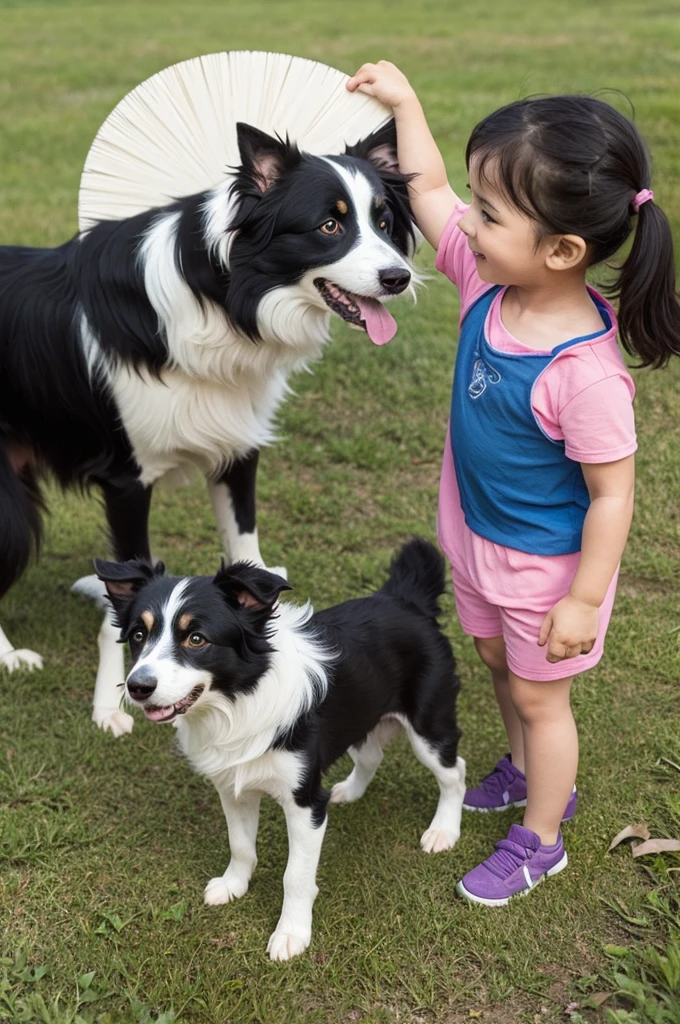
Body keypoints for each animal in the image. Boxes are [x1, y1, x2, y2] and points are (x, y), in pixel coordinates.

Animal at [0, 121, 417, 737]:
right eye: (330, 225)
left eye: (385, 222)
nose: (399, 277)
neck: (225, 297)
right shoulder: (127, 480)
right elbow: (125, 608)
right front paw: (108, 705)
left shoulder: (238, 449)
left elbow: (245, 548)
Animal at [95, 540, 464, 962]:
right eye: (139, 634)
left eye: (196, 639)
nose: (137, 687)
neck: (238, 699)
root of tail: (406, 598)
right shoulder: (233, 785)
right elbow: (240, 845)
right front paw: (233, 885)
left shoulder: (305, 801)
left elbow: (296, 876)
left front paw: (291, 933)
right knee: (372, 755)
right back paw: (349, 792)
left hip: (429, 726)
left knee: (455, 773)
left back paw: (443, 831)